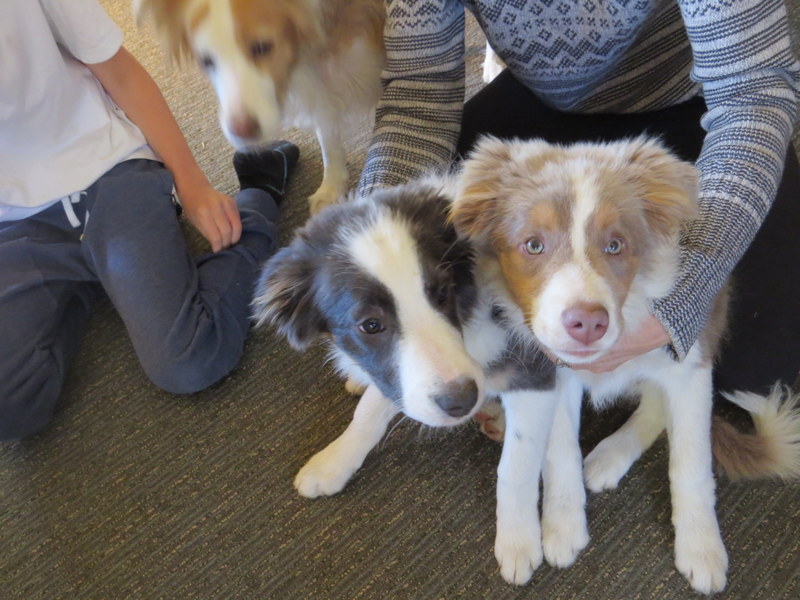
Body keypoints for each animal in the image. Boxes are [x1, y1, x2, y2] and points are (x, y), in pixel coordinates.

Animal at [134, 0, 385, 214]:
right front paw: (332, 188)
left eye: (263, 47)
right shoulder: (321, 91)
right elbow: (328, 139)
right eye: (206, 60)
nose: (241, 132)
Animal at [251, 180, 604, 584]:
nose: (462, 401)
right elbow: (370, 410)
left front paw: (518, 541)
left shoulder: (532, 369)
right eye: (370, 324)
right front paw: (334, 461)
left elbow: (516, 466)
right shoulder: (399, 378)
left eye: (441, 292)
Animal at [450, 135, 800, 594]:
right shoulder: (554, 370)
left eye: (615, 245)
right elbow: (559, 449)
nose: (587, 323)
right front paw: (562, 525)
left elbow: (691, 462)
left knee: (655, 404)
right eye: (533, 244)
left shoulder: (689, 363)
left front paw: (702, 549)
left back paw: (610, 455)